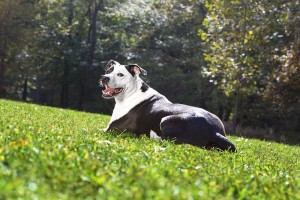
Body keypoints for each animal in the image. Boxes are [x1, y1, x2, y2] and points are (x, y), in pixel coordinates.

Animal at [101, 59, 237, 152]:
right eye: (108, 71)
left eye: (120, 74)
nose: (104, 77)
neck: (131, 93)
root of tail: (214, 131)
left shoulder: (111, 130)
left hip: (167, 119)